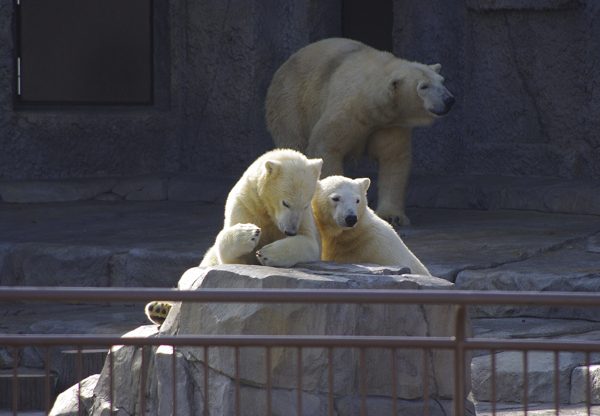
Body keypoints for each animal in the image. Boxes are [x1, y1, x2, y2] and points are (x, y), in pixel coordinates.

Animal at [268, 38, 454, 228]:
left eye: (441, 80)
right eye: (423, 86)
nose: (449, 100)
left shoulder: (389, 124)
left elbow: (394, 160)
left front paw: (392, 216)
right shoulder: (346, 112)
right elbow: (326, 146)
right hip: (290, 106)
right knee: (293, 144)